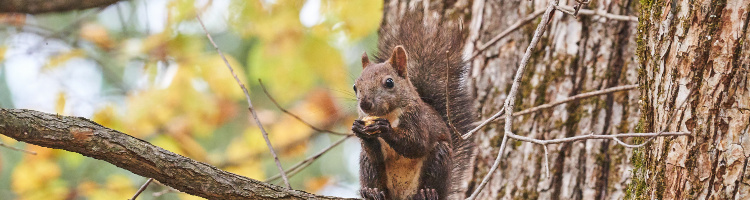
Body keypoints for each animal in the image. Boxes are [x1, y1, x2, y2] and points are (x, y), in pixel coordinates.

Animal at [352, 14, 476, 200]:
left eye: (389, 82)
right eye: (355, 87)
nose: (365, 104)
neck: (389, 115)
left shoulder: (418, 120)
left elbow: (417, 145)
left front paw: (385, 129)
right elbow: (375, 154)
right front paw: (359, 129)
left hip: (440, 159)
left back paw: (428, 193)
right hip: (368, 166)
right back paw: (372, 192)